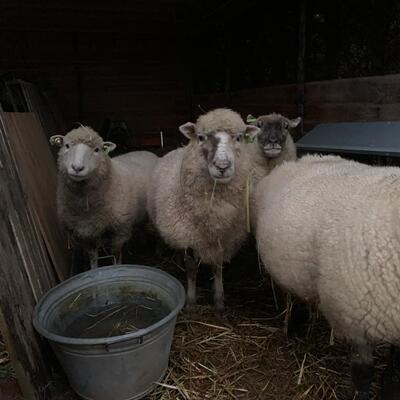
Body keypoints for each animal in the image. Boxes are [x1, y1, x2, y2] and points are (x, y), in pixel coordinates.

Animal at [50, 126, 158, 269]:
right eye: (66, 146)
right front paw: (94, 269)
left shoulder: (120, 231)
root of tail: (148, 152)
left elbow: (116, 254)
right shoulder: (85, 235)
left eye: (97, 149)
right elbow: (93, 256)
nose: (77, 168)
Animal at [147, 108, 260, 311]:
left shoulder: (223, 239)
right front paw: (191, 301)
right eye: (200, 137)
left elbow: (218, 267)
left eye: (239, 138)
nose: (222, 166)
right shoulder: (187, 237)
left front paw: (219, 300)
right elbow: (192, 268)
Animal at [255, 154, 400, 399]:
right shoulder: (355, 320)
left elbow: (393, 373)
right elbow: (363, 373)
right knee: (293, 297)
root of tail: (302, 159)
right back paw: (294, 328)